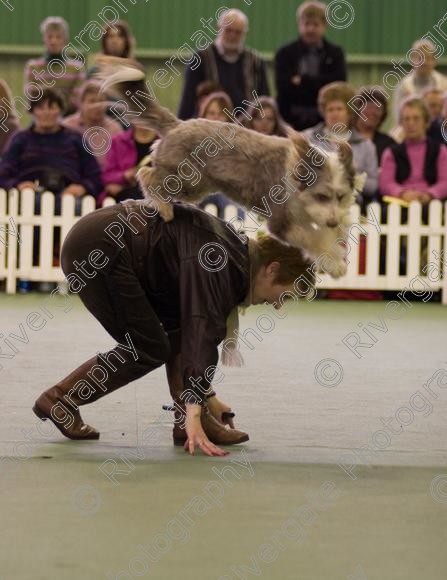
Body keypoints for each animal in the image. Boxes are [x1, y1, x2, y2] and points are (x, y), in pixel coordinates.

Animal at [100, 57, 366, 278]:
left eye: (340, 196)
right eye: (321, 195)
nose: (332, 221)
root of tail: (177, 124)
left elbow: (330, 233)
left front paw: (337, 251)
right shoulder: (282, 221)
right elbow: (313, 238)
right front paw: (334, 264)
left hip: (198, 186)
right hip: (187, 177)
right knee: (146, 174)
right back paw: (164, 208)